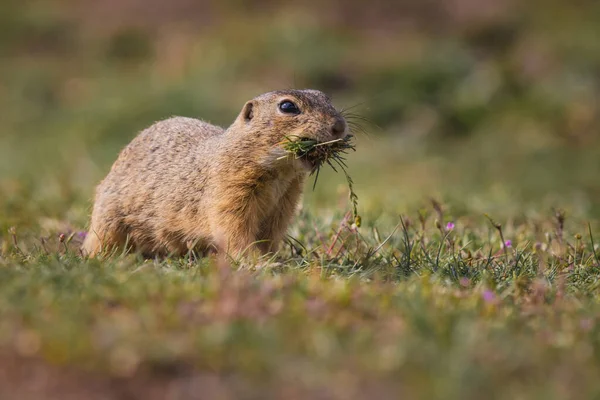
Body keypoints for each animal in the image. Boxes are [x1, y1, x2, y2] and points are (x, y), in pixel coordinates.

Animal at [82, 89, 350, 258]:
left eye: (325, 97)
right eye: (287, 106)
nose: (339, 125)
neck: (279, 173)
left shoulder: (284, 204)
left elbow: (270, 235)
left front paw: (274, 259)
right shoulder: (229, 192)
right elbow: (234, 230)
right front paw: (258, 262)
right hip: (108, 219)